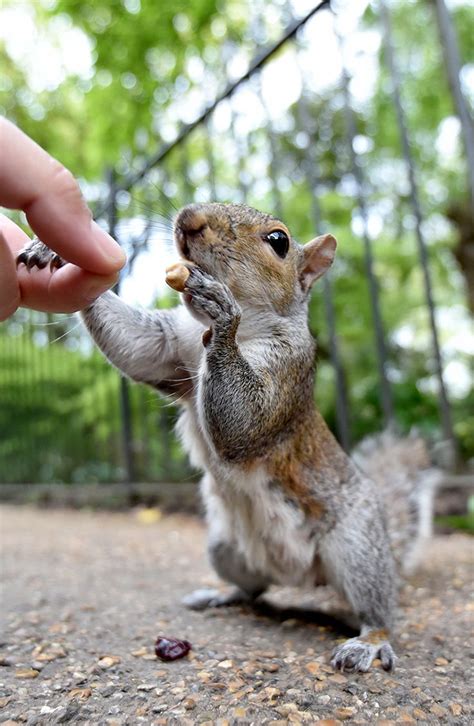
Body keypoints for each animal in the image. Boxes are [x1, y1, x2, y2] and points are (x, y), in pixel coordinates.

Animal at [15, 202, 440, 672]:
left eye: (279, 241)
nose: (187, 218)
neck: (248, 326)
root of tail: (301, 576)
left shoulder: (288, 371)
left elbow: (245, 422)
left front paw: (222, 313)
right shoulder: (170, 347)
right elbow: (139, 346)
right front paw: (54, 250)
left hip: (356, 547)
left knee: (378, 607)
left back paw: (368, 641)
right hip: (225, 548)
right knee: (254, 588)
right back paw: (221, 595)